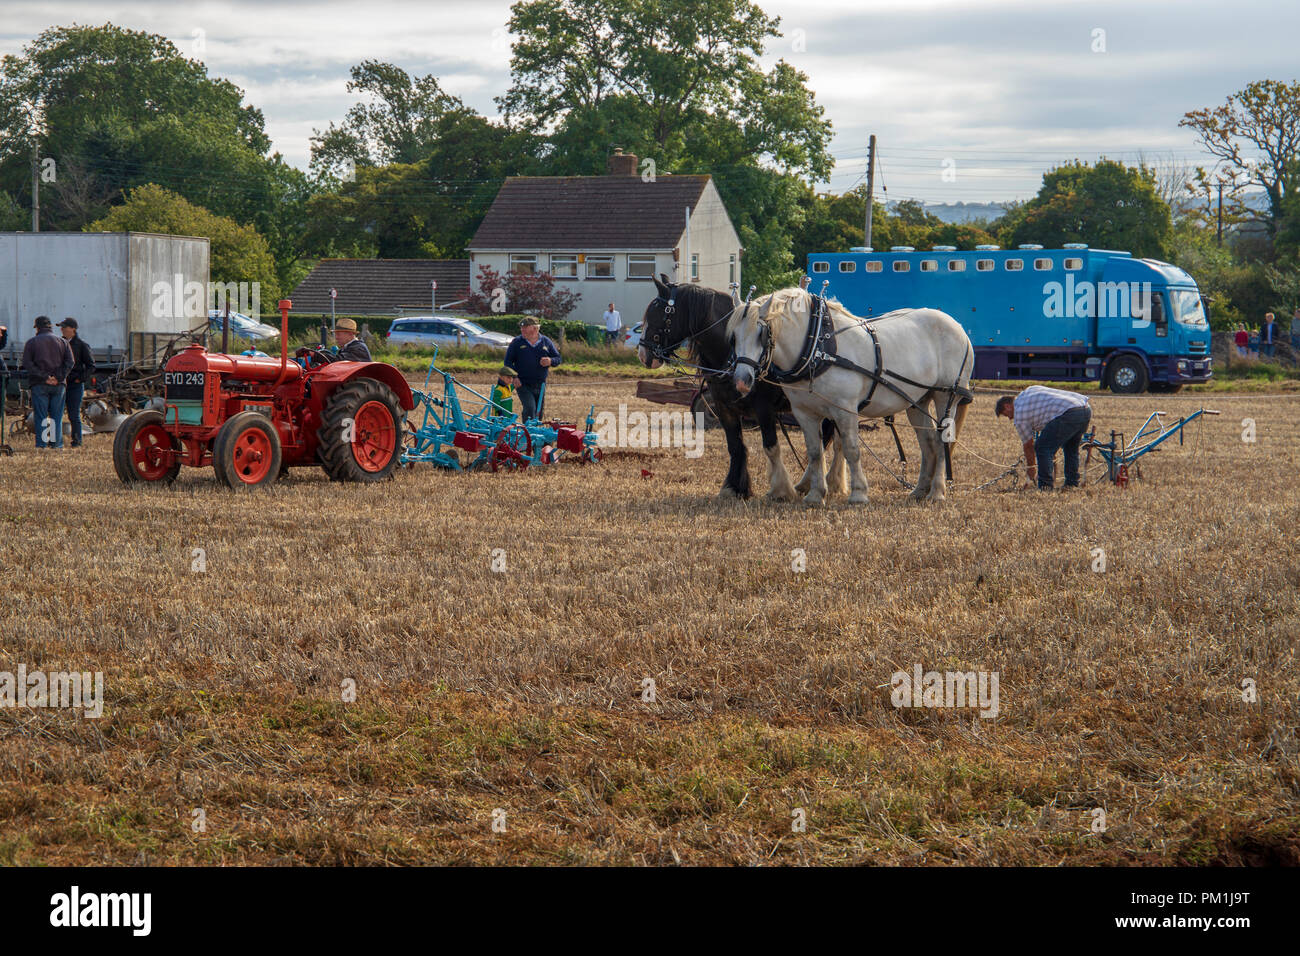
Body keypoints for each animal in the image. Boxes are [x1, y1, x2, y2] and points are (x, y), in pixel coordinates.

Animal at [733, 287, 977, 504]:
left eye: (761, 333)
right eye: (733, 335)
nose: (741, 380)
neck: (818, 347)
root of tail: (958, 327)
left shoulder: (845, 410)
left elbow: (851, 449)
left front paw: (858, 493)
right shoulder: (804, 413)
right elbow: (815, 453)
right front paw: (815, 495)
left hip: (946, 397)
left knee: (943, 440)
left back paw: (937, 492)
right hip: (917, 401)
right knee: (928, 443)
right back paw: (919, 490)